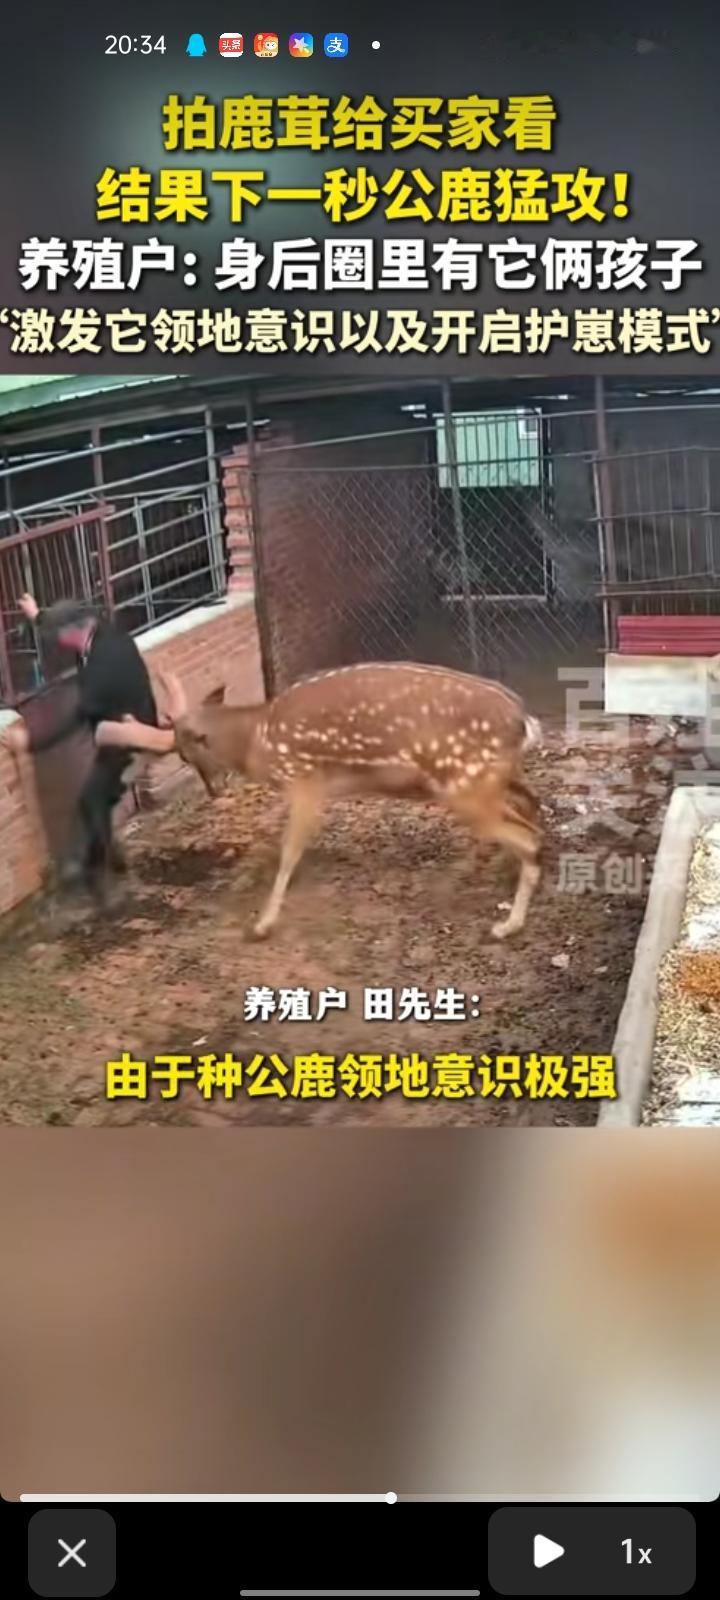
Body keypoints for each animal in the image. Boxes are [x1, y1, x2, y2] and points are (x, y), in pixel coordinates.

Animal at [94, 661, 543, 943]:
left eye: (186, 753)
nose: (215, 790)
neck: (257, 741)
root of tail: (525, 721)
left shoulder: (304, 779)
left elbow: (289, 851)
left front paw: (262, 924)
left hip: (465, 785)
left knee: (531, 837)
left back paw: (507, 925)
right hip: (494, 781)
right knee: (533, 811)